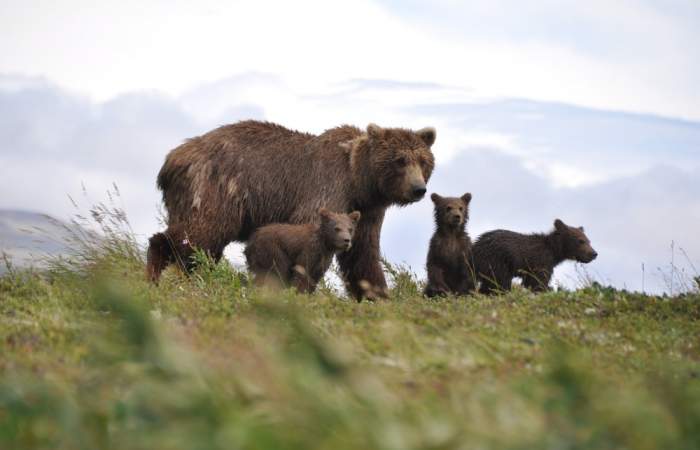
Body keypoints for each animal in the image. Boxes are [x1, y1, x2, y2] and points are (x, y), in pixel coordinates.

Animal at [146, 120, 436, 300]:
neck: (359, 180)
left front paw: (377, 296)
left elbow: (363, 255)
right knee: (198, 236)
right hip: (216, 190)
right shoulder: (328, 186)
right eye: (400, 160)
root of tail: (172, 159)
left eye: (423, 161)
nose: (418, 189)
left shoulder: (367, 212)